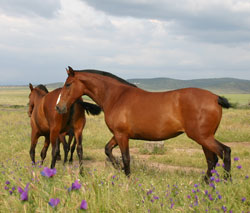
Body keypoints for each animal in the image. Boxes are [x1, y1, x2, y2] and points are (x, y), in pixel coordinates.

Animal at [55, 66, 231, 181]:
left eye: (68, 84)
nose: (59, 107)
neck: (116, 96)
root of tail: (215, 98)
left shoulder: (122, 135)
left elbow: (126, 157)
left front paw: (127, 177)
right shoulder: (118, 135)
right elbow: (108, 150)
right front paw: (118, 168)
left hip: (202, 137)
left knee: (225, 152)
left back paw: (226, 181)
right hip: (204, 138)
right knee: (212, 160)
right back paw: (206, 183)